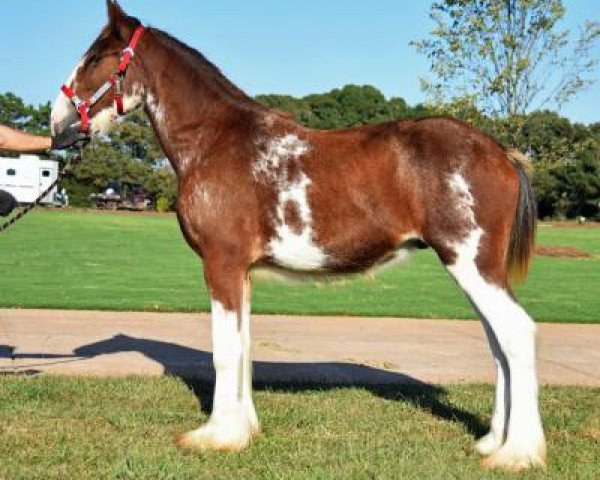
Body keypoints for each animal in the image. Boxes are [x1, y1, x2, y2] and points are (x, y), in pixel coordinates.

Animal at [51, 0, 548, 472]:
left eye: (97, 56)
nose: (57, 123)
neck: (214, 140)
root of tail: (500, 152)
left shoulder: (221, 263)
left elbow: (224, 351)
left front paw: (216, 435)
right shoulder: (243, 271)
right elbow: (244, 346)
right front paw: (243, 429)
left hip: (471, 263)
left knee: (515, 334)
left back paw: (517, 453)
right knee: (497, 344)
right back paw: (492, 440)